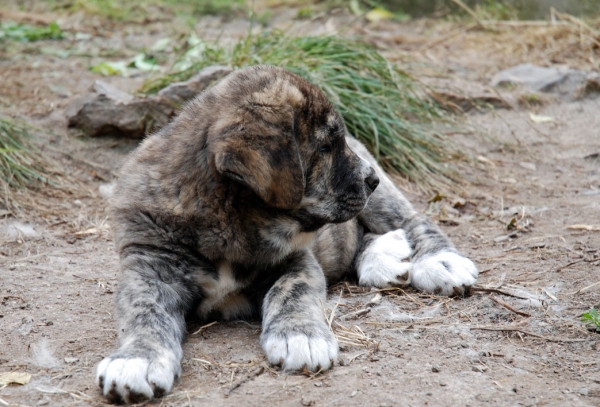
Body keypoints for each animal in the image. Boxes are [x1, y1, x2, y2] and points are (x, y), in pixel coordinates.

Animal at [95, 65, 478, 404]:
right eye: (325, 147)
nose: (371, 179)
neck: (228, 220)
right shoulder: (149, 266)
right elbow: (143, 313)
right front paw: (136, 360)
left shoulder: (297, 261)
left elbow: (292, 292)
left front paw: (301, 337)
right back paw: (383, 256)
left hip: (383, 202)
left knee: (412, 218)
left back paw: (440, 262)